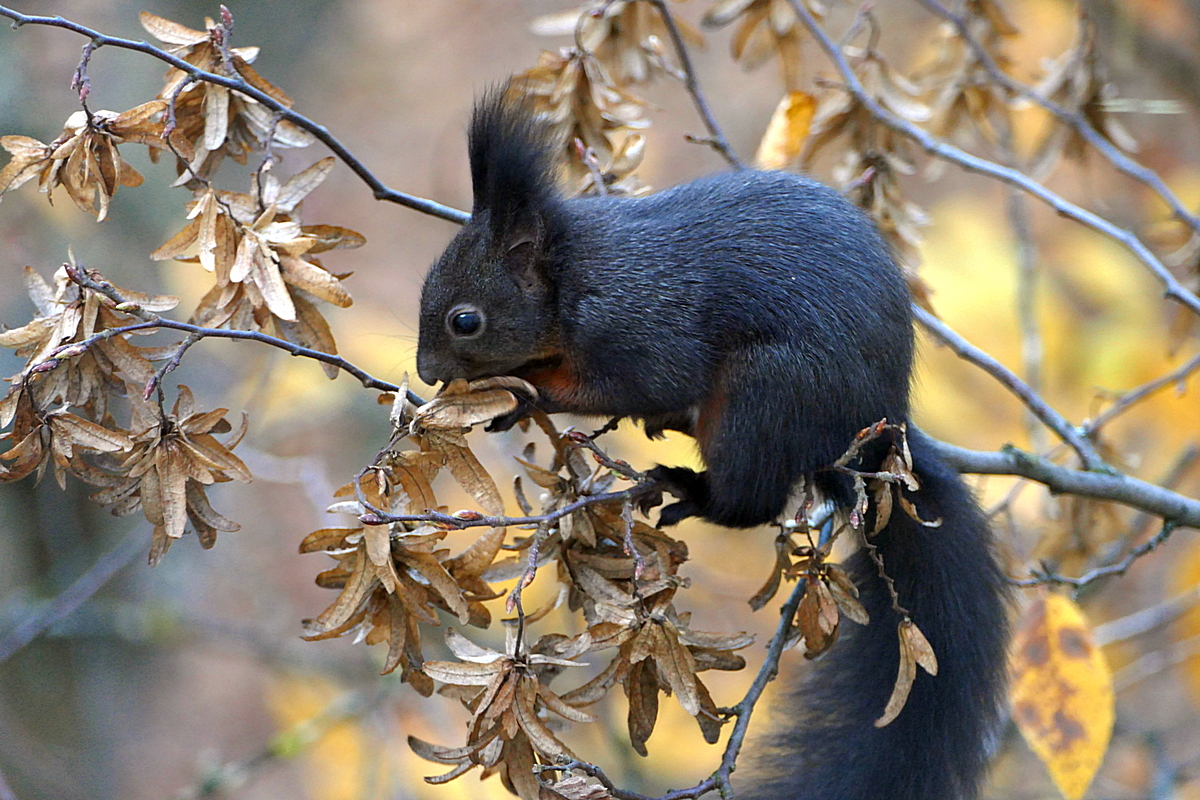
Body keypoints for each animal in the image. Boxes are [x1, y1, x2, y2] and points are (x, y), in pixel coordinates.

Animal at [417, 90, 1008, 800]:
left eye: (465, 320)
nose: (424, 371)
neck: (570, 276)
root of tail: (881, 427)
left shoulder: (641, 326)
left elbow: (633, 381)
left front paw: (527, 393)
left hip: (764, 396)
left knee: (751, 500)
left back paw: (690, 488)